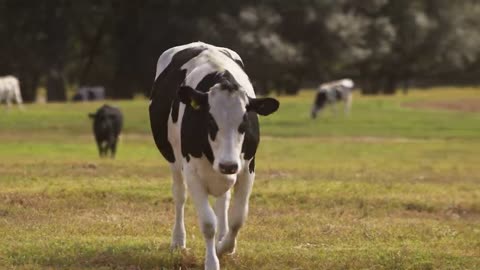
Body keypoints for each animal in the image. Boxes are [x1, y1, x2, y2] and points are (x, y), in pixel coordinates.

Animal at [148, 41, 280, 270]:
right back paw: (178, 241)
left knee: (223, 201)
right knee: (179, 195)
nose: (228, 165)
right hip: (173, 160)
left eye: (244, 122)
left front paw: (224, 247)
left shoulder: (247, 168)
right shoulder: (192, 172)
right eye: (210, 121)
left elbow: (237, 218)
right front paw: (212, 261)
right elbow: (208, 223)